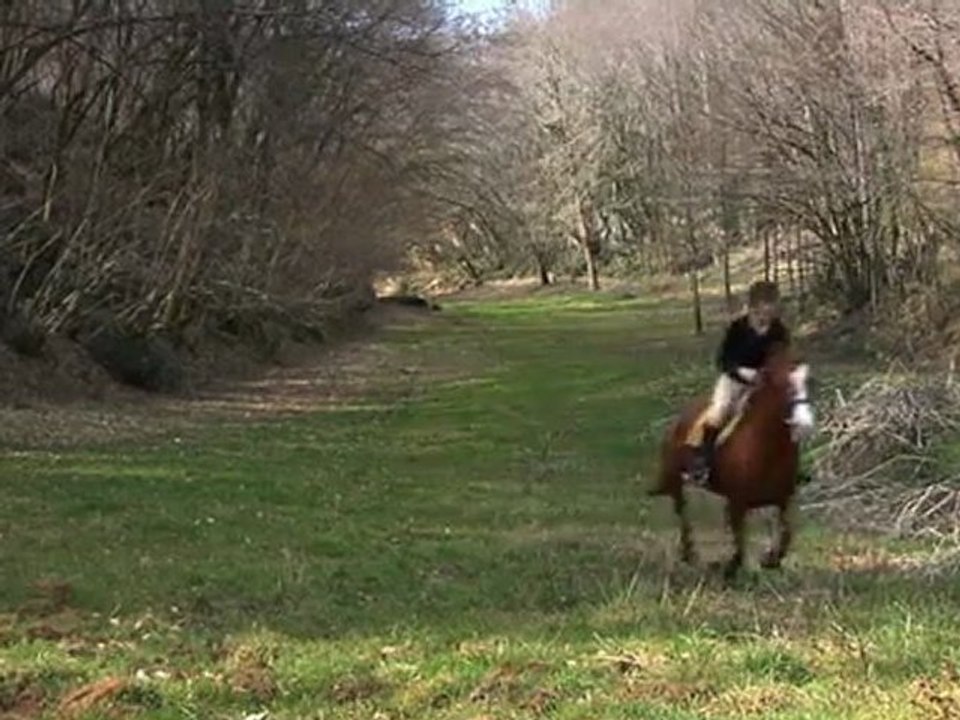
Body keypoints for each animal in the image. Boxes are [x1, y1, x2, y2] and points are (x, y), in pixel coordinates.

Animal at [649, 343, 815, 580]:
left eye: (809, 381)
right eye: (781, 384)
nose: (805, 422)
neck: (768, 450)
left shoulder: (783, 499)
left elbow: (786, 534)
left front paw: (769, 559)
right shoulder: (738, 502)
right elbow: (739, 542)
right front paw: (729, 567)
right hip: (676, 482)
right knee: (682, 514)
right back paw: (690, 555)